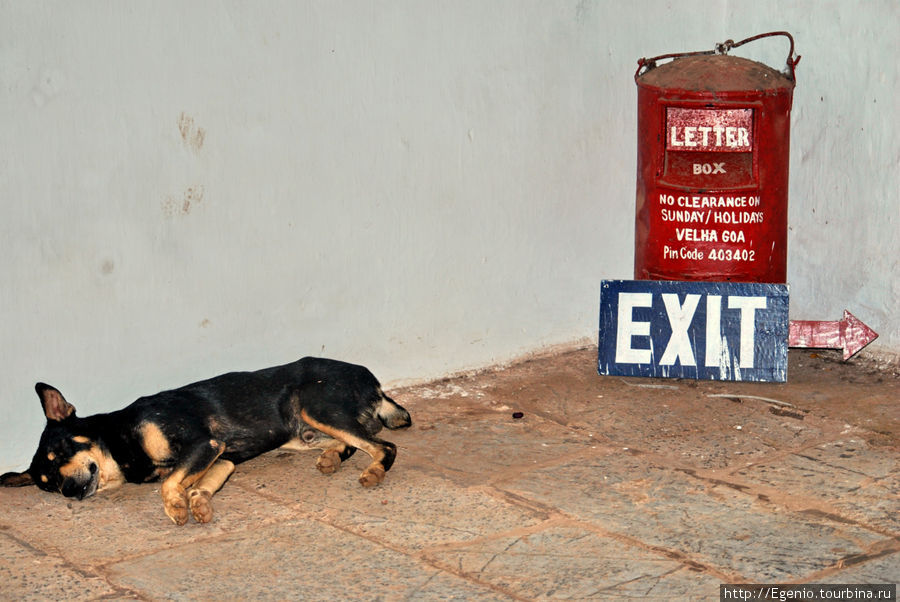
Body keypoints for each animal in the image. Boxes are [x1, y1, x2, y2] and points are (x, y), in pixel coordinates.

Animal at [0, 358, 412, 524]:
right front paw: (197, 501)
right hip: (303, 432)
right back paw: (331, 456)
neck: (122, 440)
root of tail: (374, 382)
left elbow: (168, 483)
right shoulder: (222, 457)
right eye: (48, 486)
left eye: (62, 451)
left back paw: (374, 471)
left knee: (384, 446)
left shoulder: (204, 446)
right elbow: (197, 484)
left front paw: (177, 507)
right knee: (358, 440)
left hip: (314, 406)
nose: (69, 492)